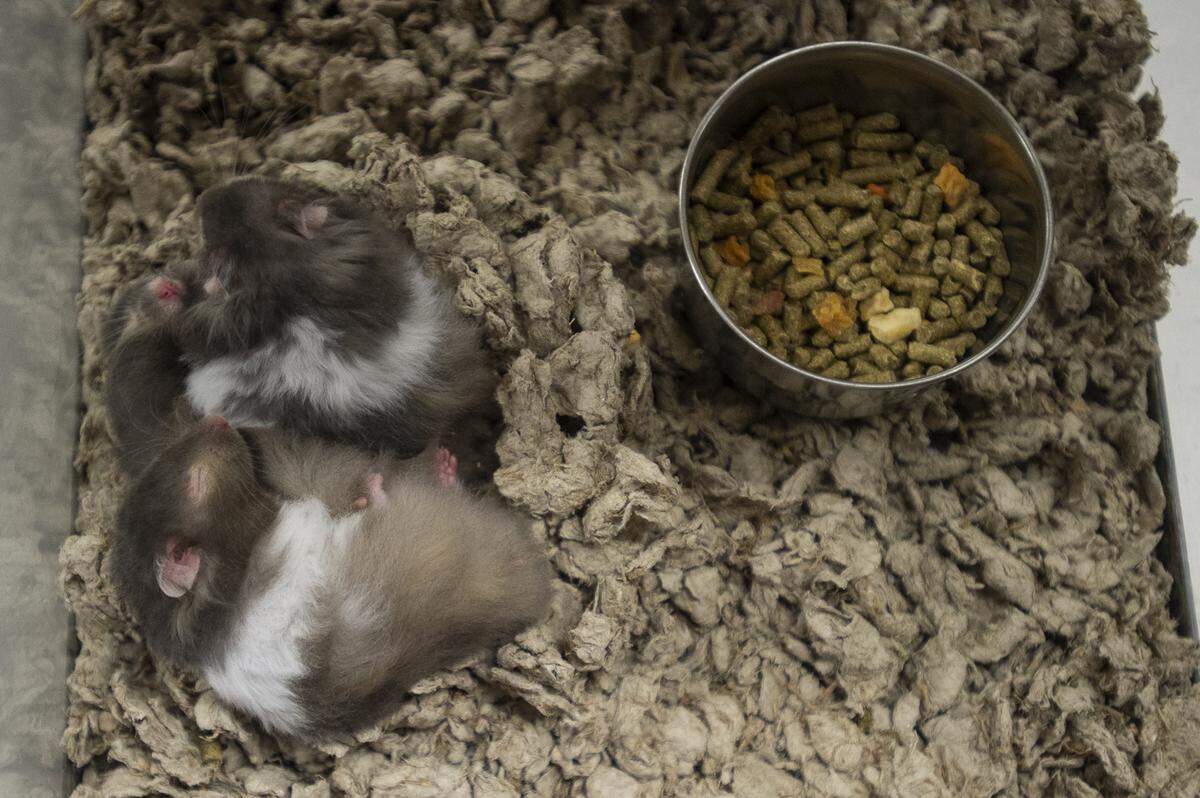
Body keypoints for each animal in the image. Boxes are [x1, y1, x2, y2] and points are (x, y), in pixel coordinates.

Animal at [110, 416, 552, 740]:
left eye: (166, 459)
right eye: (196, 481)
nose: (217, 418)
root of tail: (530, 581)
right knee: (392, 502)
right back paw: (394, 482)